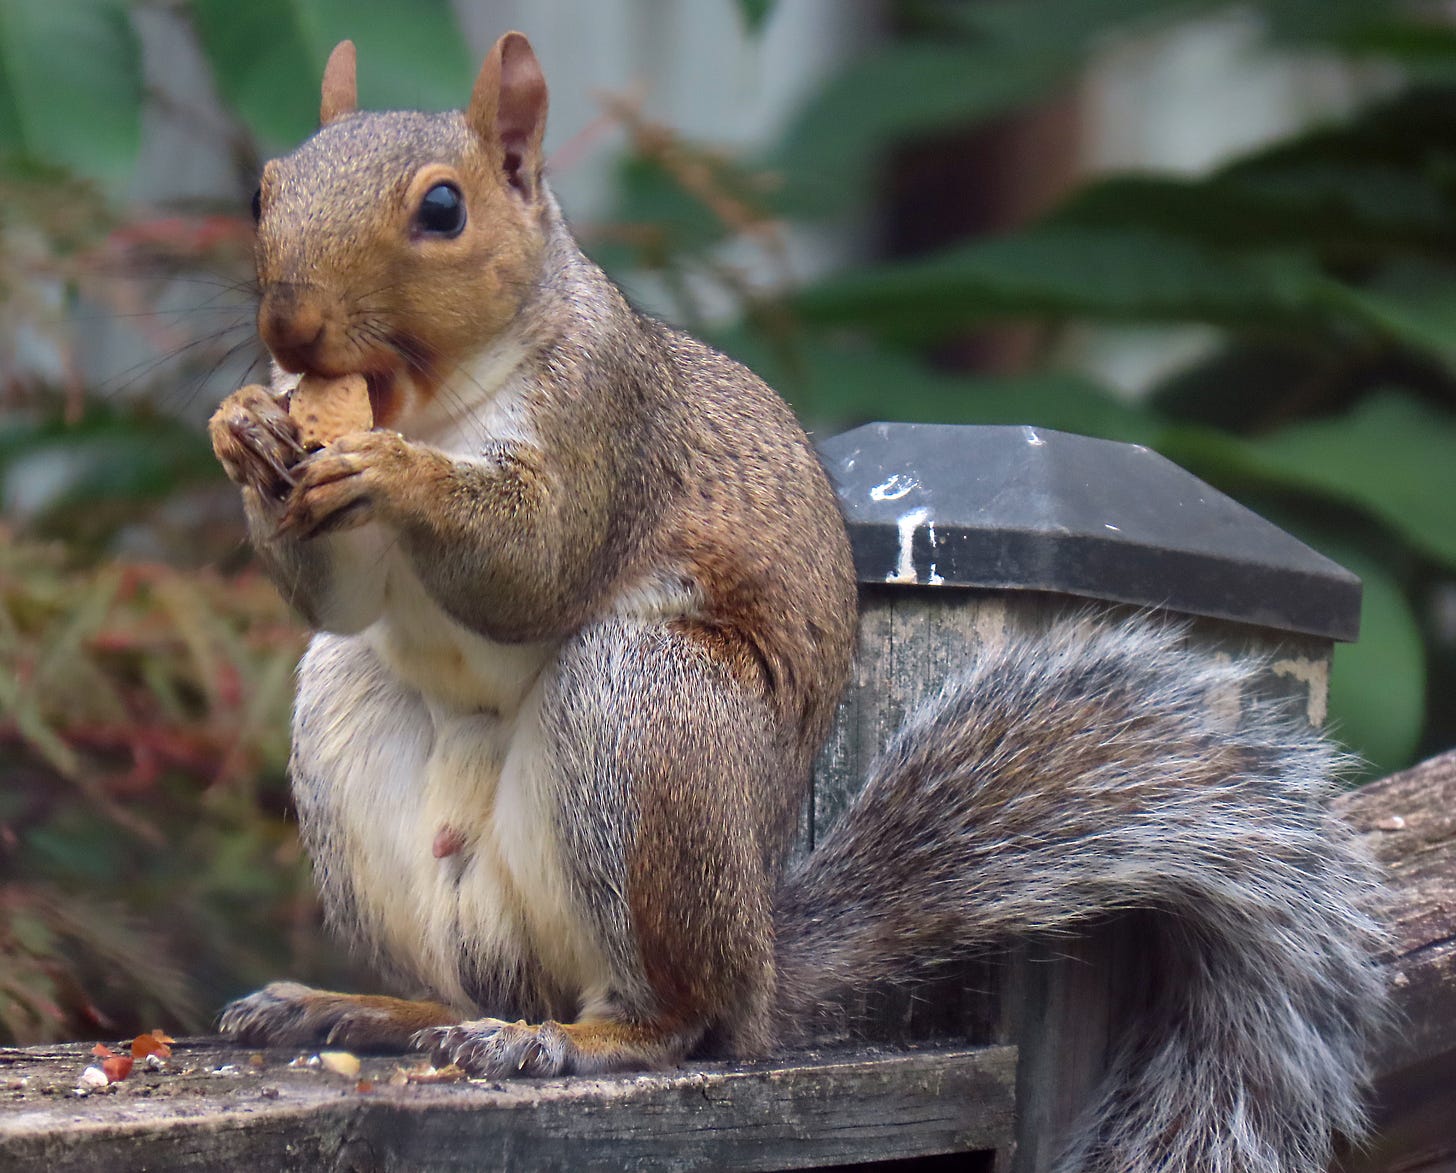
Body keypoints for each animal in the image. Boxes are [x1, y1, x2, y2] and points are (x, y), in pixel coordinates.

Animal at [209, 33, 1387, 1172]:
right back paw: (362, 1008)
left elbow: (535, 565)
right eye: (265, 193)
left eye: (444, 210)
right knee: (476, 981)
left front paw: (391, 470)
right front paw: (245, 430)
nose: (289, 327)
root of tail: (764, 965)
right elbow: (342, 594)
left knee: (678, 1017)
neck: (432, 398)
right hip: (358, 731)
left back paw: (572, 1039)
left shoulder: (609, 425)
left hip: (648, 721)